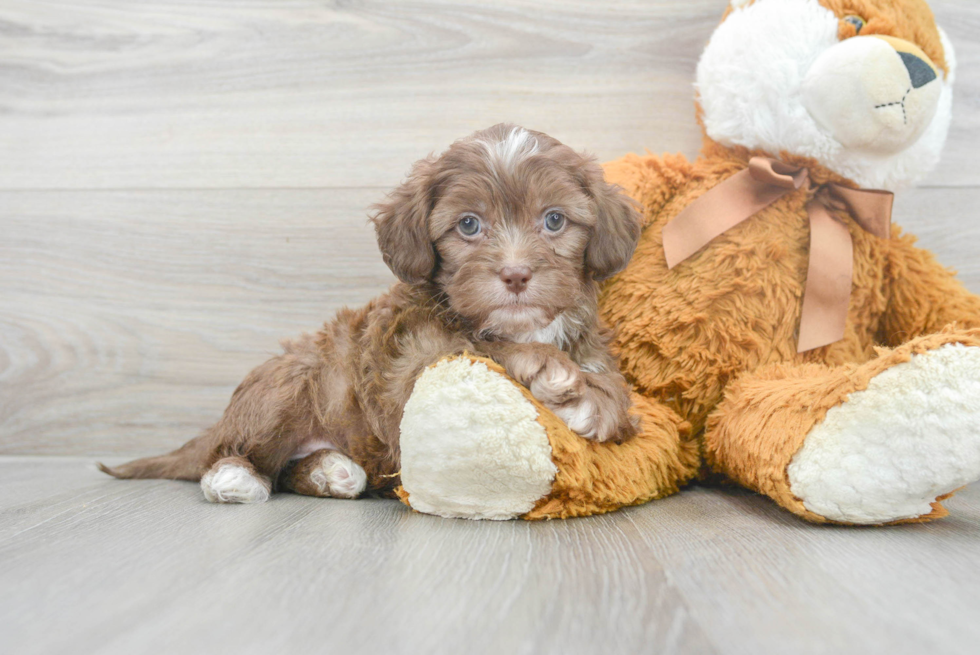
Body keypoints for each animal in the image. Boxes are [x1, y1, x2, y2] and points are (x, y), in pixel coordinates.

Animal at [101, 124, 644, 502]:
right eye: (469, 225)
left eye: (554, 220)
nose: (514, 275)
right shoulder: (408, 375)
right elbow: (479, 347)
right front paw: (549, 370)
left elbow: (615, 391)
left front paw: (598, 401)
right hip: (286, 385)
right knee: (237, 453)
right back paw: (235, 477)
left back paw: (331, 471)